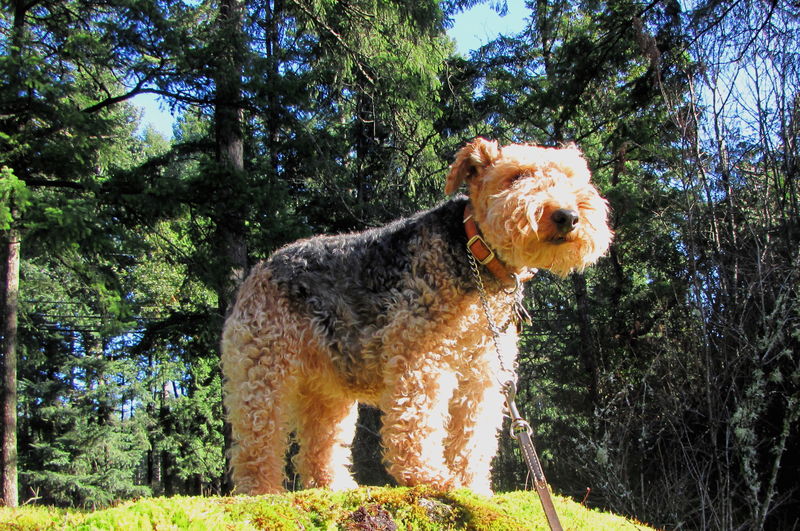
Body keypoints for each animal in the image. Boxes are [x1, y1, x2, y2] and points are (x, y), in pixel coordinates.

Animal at [219, 137, 612, 494]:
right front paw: (429, 477)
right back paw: (261, 489)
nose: (567, 216)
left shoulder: (481, 373)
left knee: (320, 443)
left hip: (329, 388)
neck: (475, 255)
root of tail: (261, 268)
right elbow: (417, 422)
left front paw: (473, 487)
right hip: (264, 372)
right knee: (256, 439)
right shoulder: (423, 360)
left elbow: (473, 437)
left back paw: (335, 486)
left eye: (573, 177)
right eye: (516, 176)